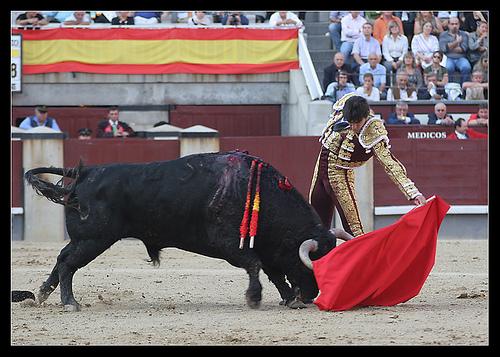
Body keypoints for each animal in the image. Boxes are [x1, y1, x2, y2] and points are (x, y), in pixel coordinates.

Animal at [21, 149, 340, 308]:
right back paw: (69, 302)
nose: (311, 295)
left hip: (84, 239)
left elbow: (273, 271)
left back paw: (42, 295)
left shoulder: (263, 245)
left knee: (62, 259)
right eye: (314, 260)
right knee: (68, 264)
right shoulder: (231, 244)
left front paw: (288, 298)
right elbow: (254, 265)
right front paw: (255, 298)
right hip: (93, 239)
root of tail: (85, 173)